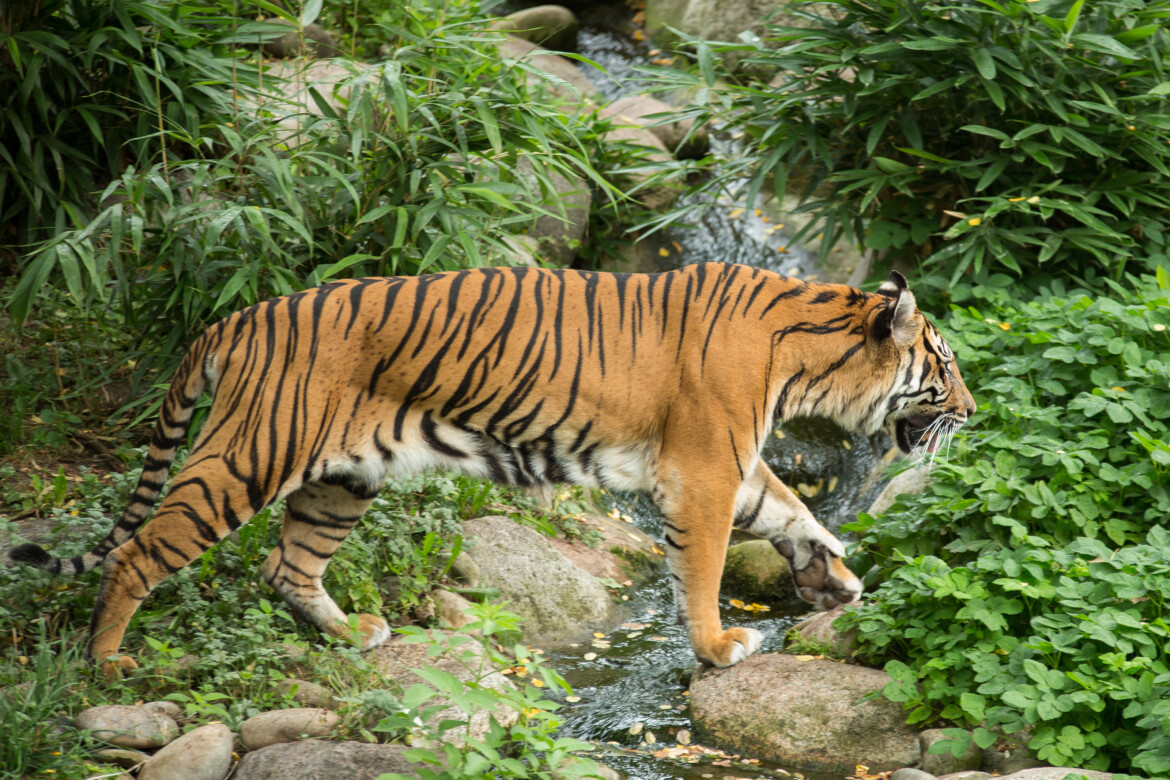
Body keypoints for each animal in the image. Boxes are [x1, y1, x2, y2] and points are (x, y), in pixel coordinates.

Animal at [11, 261, 978, 678]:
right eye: (945, 363)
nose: (971, 412)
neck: (808, 348)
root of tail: (237, 317)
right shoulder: (702, 471)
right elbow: (703, 572)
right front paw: (718, 647)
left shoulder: (730, 466)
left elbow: (788, 511)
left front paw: (832, 576)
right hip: (250, 455)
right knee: (139, 553)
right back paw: (107, 665)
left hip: (341, 479)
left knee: (288, 566)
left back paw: (353, 635)